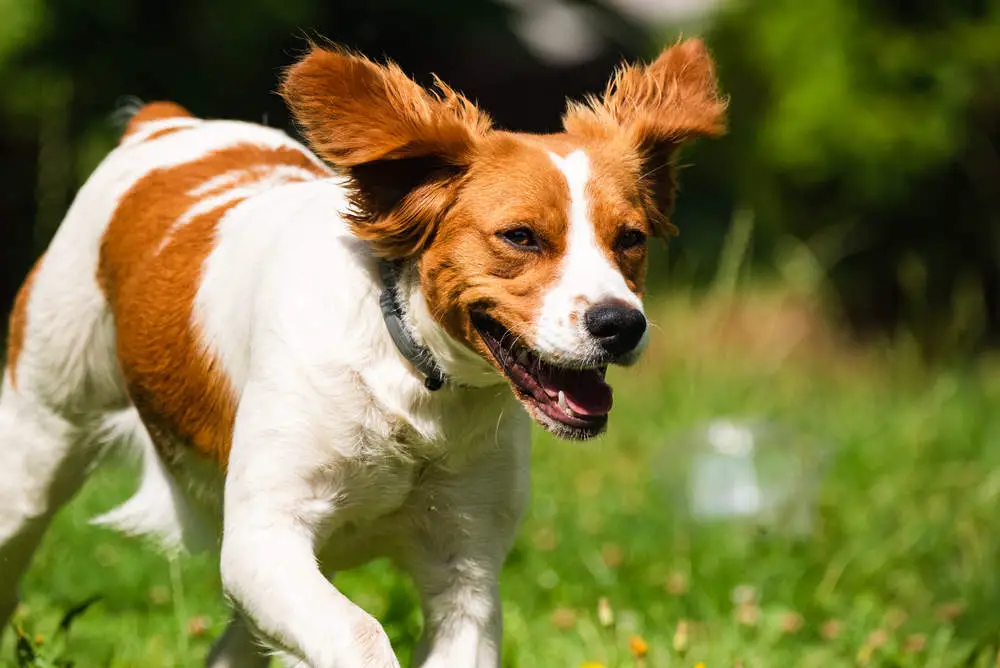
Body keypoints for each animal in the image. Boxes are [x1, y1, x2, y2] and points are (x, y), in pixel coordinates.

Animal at [0, 39, 724, 664]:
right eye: (520, 236)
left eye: (630, 239)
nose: (621, 324)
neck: (414, 379)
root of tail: (165, 124)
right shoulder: (263, 539)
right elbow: (361, 632)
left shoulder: (464, 567)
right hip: (39, 444)